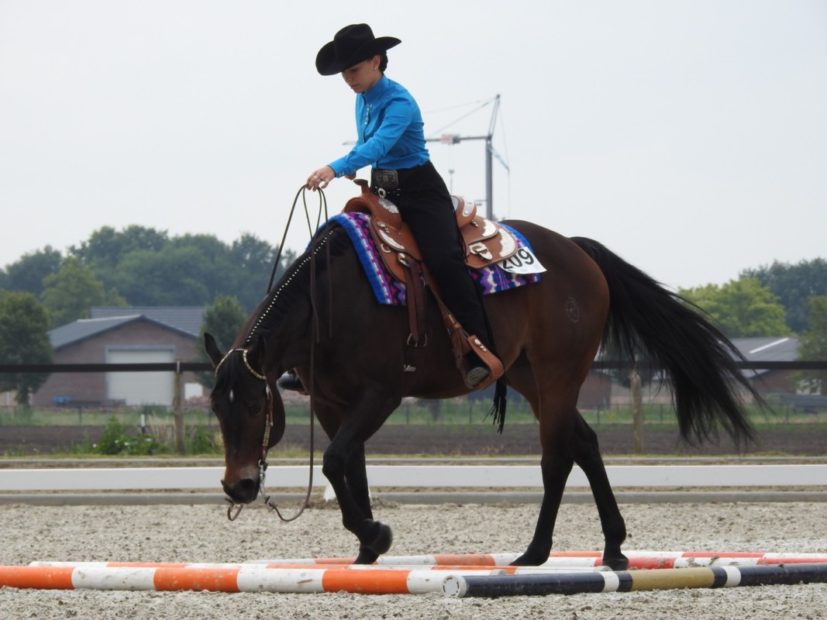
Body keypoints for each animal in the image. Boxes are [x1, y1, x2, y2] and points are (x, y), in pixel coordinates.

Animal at [204, 213, 760, 568]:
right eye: (216, 409)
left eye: (254, 404)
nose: (238, 486)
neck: (328, 302)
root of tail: (578, 251)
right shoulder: (328, 402)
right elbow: (349, 467)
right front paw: (367, 548)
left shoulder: (380, 396)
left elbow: (337, 461)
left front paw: (375, 534)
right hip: (527, 377)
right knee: (585, 443)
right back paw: (614, 548)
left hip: (558, 375)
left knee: (557, 456)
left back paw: (536, 551)